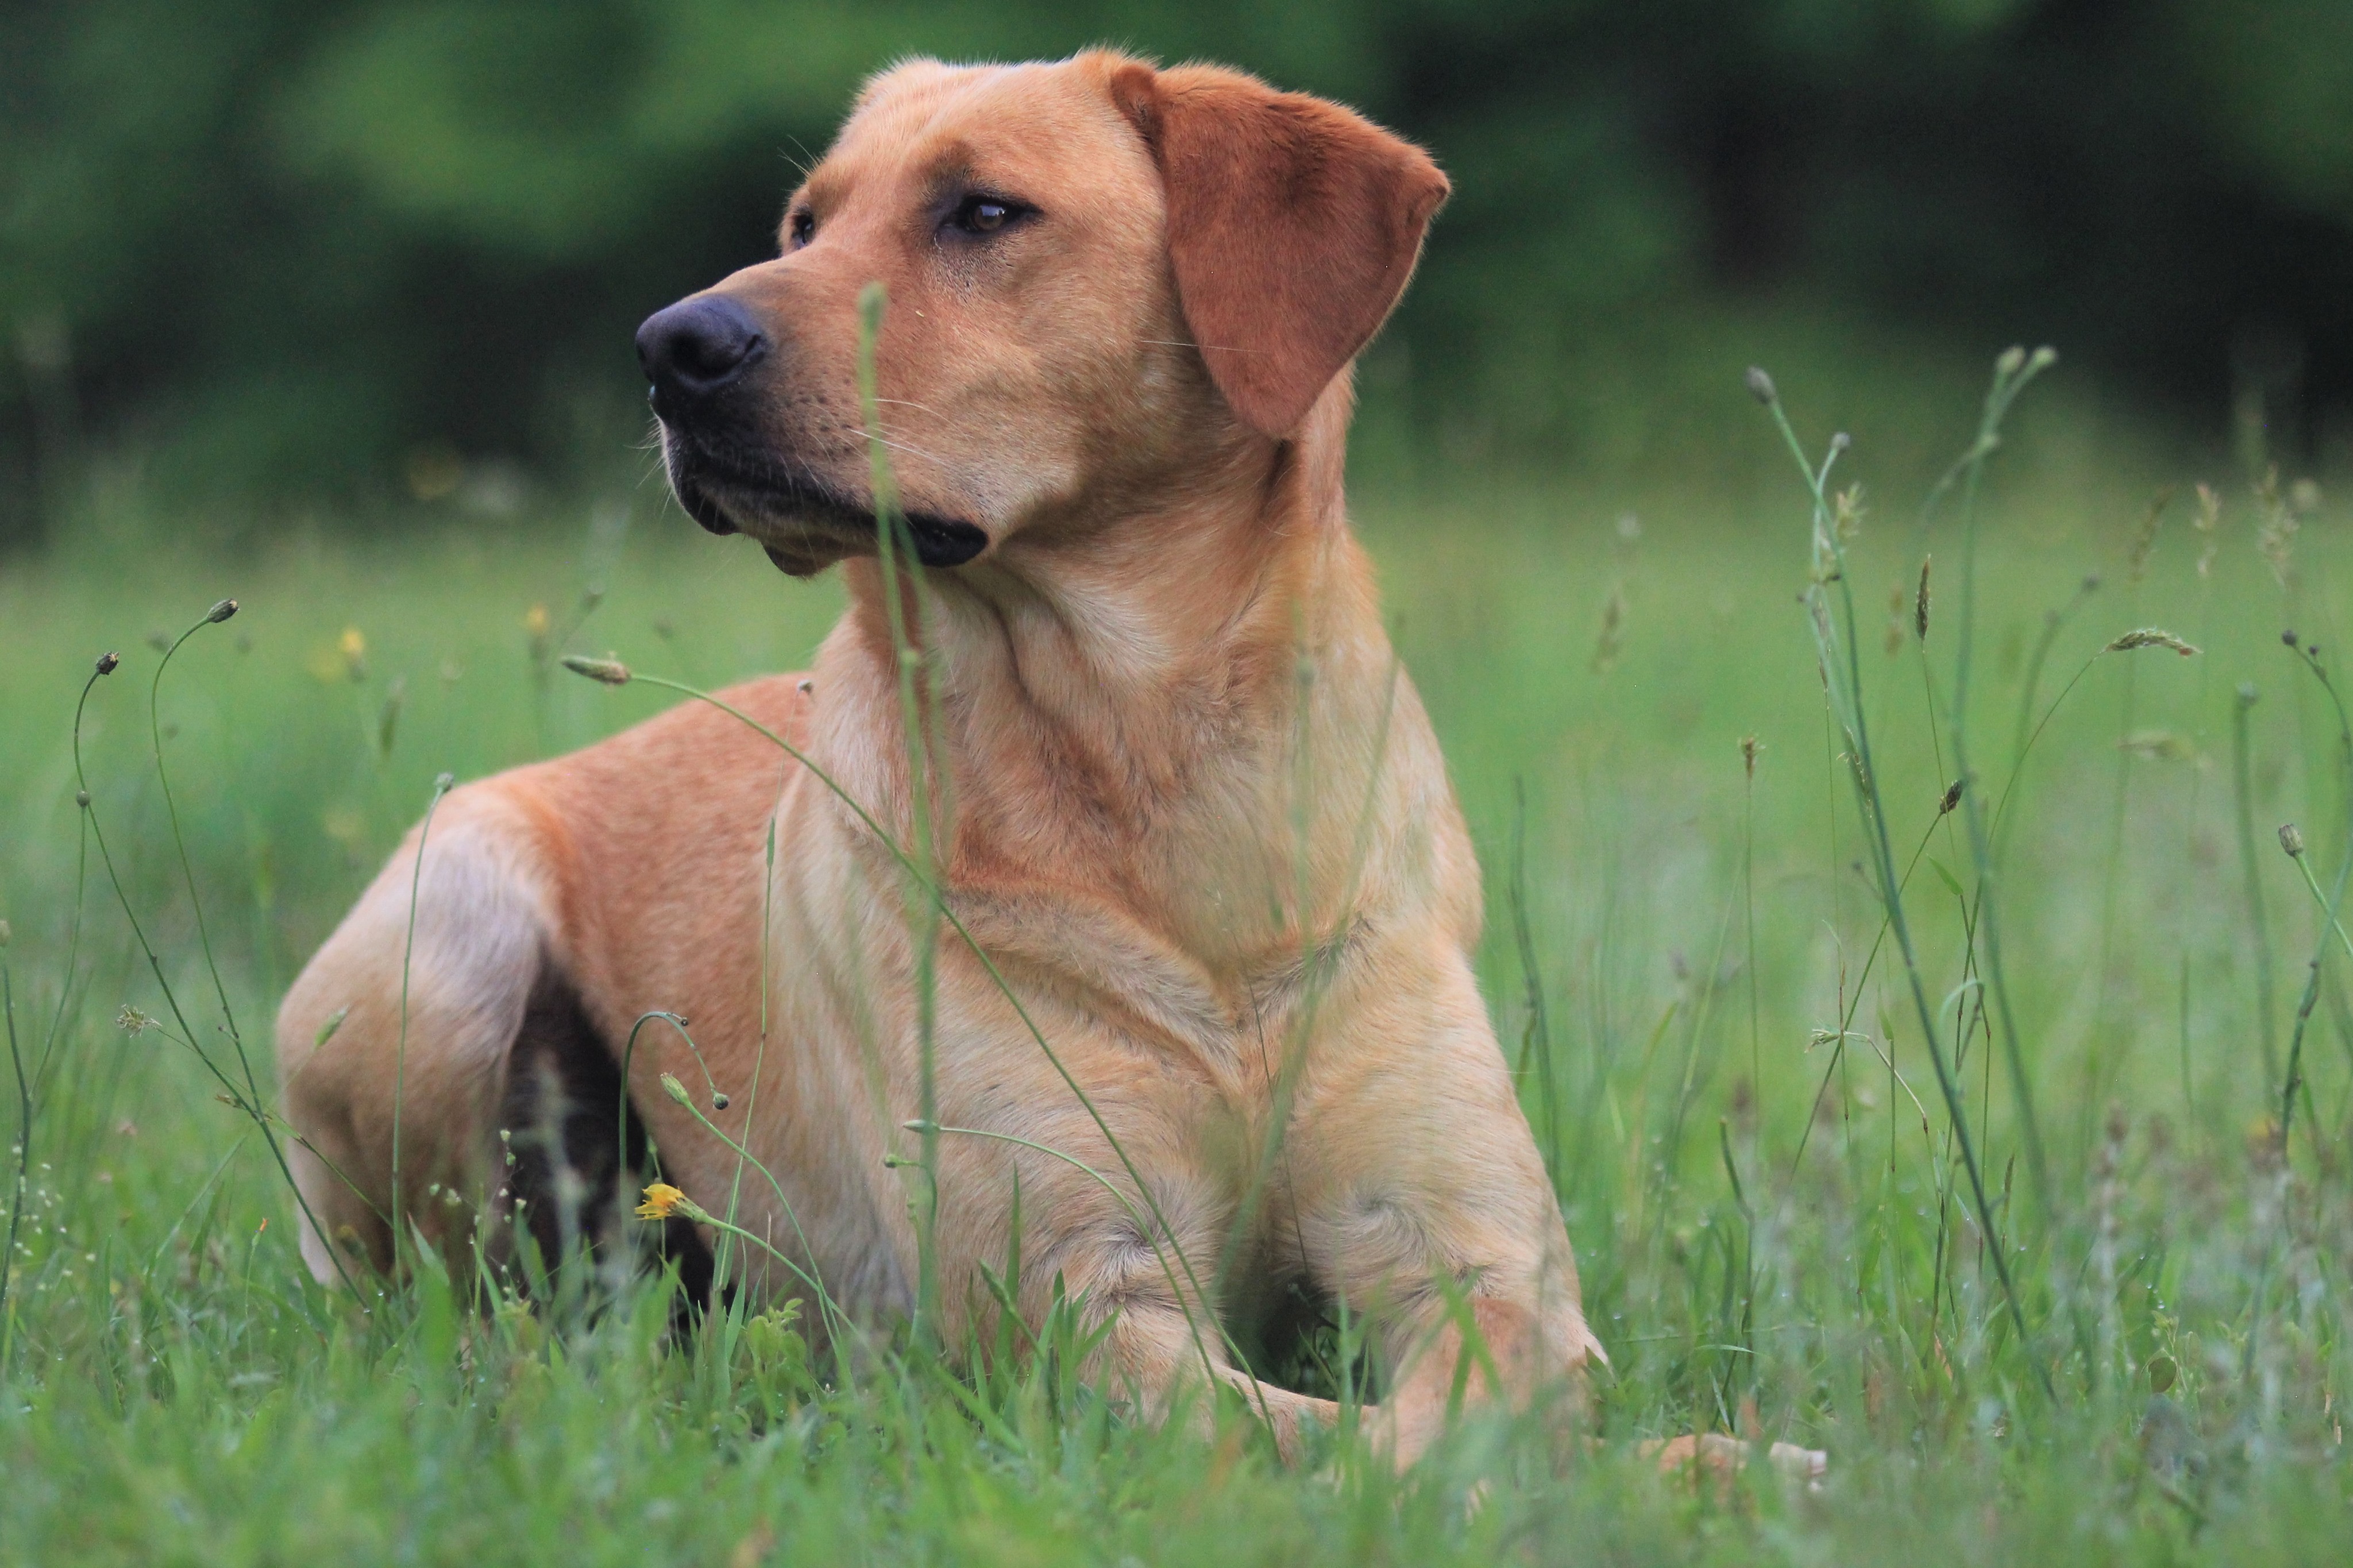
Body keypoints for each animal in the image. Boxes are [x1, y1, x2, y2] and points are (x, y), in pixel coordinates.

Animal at [271, 43, 1816, 1476]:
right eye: (806, 223)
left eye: (982, 211)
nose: (670, 347)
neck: (1152, 763)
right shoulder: (1070, 1297)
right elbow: (1338, 1443)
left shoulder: (1467, 1246)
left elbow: (1491, 1402)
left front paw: (1723, 1461)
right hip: (445, 942)